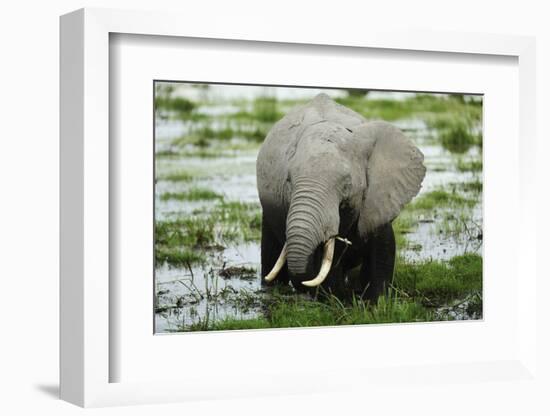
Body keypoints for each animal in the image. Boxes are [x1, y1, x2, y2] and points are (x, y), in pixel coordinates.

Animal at [258, 93, 426, 302]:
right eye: (288, 181)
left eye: (347, 184)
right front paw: (336, 298)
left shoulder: (376, 201)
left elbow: (383, 248)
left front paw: (375, 301)